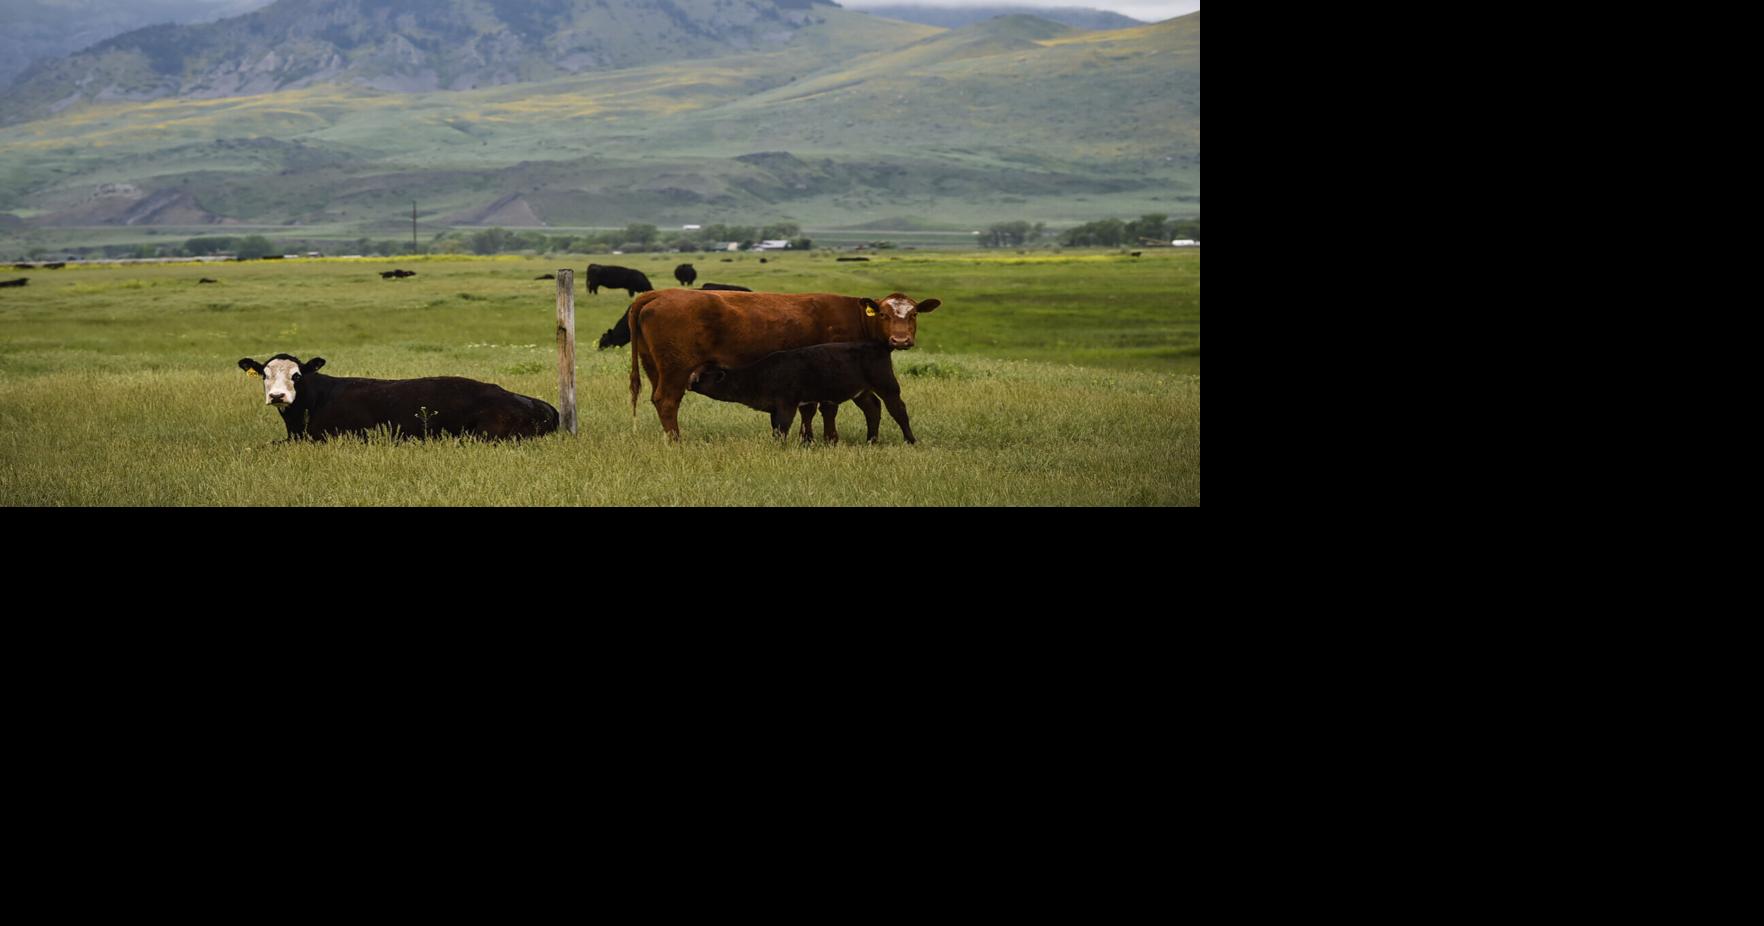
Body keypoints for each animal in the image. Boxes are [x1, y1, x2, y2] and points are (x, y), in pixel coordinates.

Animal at [689, 341, 914, 445]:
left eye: (701, 376)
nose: (689, 383)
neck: (760, 374)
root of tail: (880, 345)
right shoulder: (775, 408)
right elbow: (776, 427)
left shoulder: (787, 404)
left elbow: (782, 427)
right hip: (862, 393)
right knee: (873, 409)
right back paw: (870, 440)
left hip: (888, 386)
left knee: (898, 410)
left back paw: (910, 440)